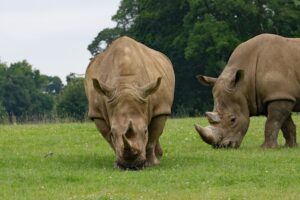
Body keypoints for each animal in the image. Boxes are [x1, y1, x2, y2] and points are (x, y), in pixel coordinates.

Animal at [84, 35, 175, 169]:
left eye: (145, 131)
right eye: (113, 132)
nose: (131, 166)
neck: (126, 84)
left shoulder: (161, 108)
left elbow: (152, 137)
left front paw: (151, 164)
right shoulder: (97, 113)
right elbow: (110, 139)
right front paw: (117, 164)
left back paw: (158, 157)